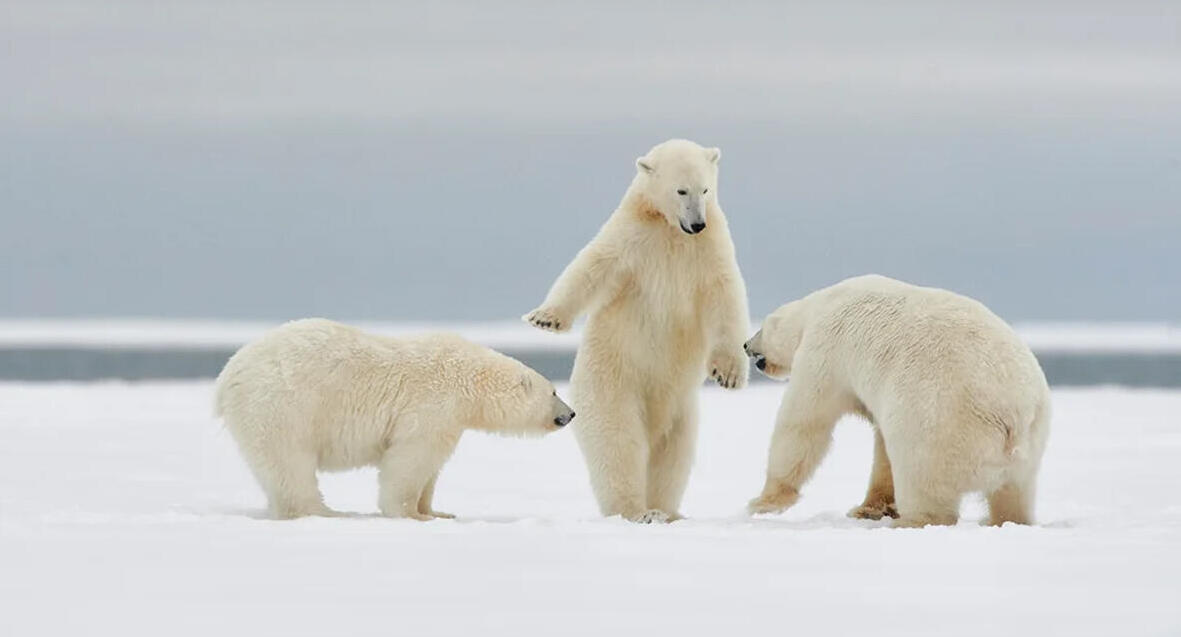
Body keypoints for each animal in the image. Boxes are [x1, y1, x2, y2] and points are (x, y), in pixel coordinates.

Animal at [219, 321, 578, 520]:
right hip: (282, 405)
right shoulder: (432, 405)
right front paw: (411, 514)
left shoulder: (452, 419)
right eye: (553, 391)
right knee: (290, 464)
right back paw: (325, 511)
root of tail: (228, 376)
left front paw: (437, 511)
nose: (571, 413)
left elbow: (432, 468)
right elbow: (411, 460)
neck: (468, 378)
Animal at [526, 138, 746, 522]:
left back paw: (666, 511)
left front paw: (729, 374)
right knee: (619, 443)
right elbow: (592, 266)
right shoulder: (633, 238)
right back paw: (636, 511)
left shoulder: (710, 250)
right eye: (681, 190)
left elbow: (725, 297)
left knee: (673, 455)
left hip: (682, 409)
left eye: (705, 189)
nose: (697, 223)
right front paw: (546, 318)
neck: (671, 231)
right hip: (614, 384)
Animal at [746, 276, 1053, 531]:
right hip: (1031, 443)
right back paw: (1004, 520)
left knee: (922, 478)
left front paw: (762, 502)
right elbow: (882, 447)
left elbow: (804, 421)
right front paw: (869, 508)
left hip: (939, 422)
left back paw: (910, 521)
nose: (746, 345)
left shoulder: (824, 350)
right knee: (1014, 493)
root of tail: (1012, 415)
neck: (823, 303)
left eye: (761, 329)